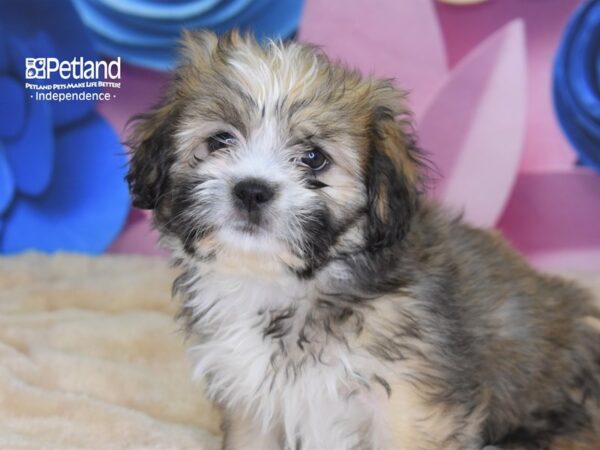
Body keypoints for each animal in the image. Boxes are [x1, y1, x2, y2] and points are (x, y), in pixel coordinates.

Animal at [126, 31, 600, 450]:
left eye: (314, 158)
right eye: (219, 140)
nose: (252, 190)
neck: (287, 287)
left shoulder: (412, 406)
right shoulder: (252, 401)